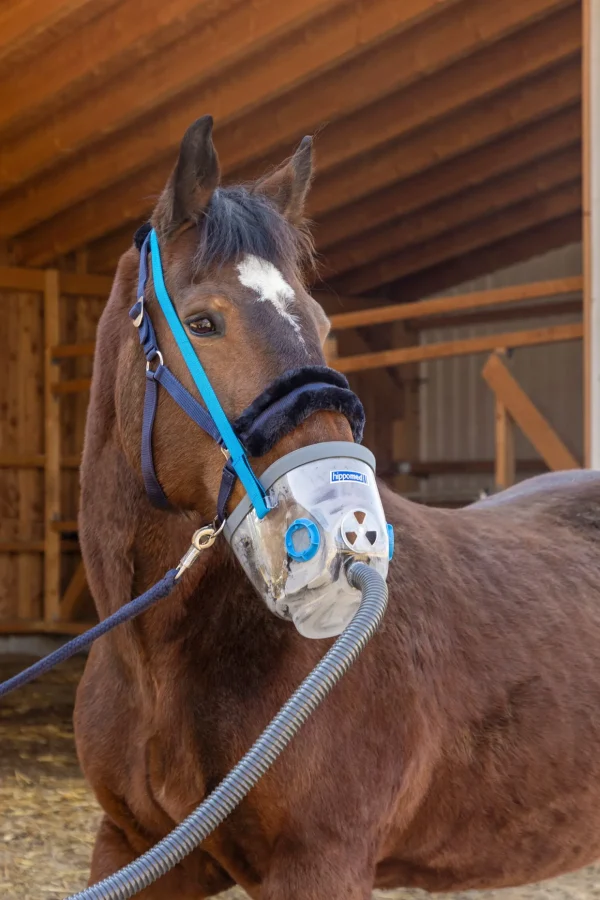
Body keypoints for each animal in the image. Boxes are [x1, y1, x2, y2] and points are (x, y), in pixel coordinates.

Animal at [76, 116, 600, 896]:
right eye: (203, 323)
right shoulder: (135, 847)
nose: (348, 530)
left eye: (321, 322)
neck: (157, 665)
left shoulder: (322, 861)